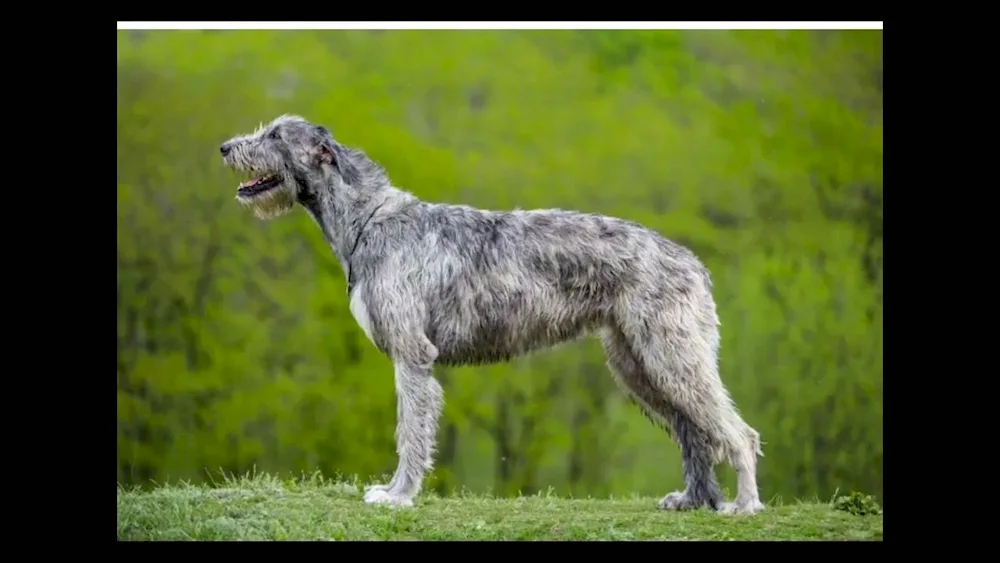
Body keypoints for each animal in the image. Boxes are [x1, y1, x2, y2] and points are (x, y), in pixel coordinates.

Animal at [221, 114, 764, 516]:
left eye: (275, 135)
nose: (226, 147)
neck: (369, 220)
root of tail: (692, 262)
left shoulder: (412, 355)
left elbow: (410, 431)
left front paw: (397, 495)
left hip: (671, 354)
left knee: (738, 433)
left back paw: (744, 506)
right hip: (638, 364)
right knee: (694, 431)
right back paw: (694, 500)